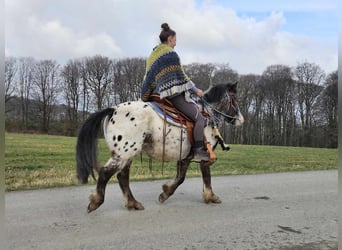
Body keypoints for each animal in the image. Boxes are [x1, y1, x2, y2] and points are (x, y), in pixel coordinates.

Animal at [76, 83, 244, 212]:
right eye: (235, 99)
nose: (241, 120)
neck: (207, 115)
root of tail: (113, 109)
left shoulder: (185, 157)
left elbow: (181, 177)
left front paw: (166, 193)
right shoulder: (204, 156)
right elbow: (204, 177)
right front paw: (211, 196)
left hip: (127, 154)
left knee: (122, 176)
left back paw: (133, 203)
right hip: (124, 153)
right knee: (106, 173)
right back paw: (96, 201)